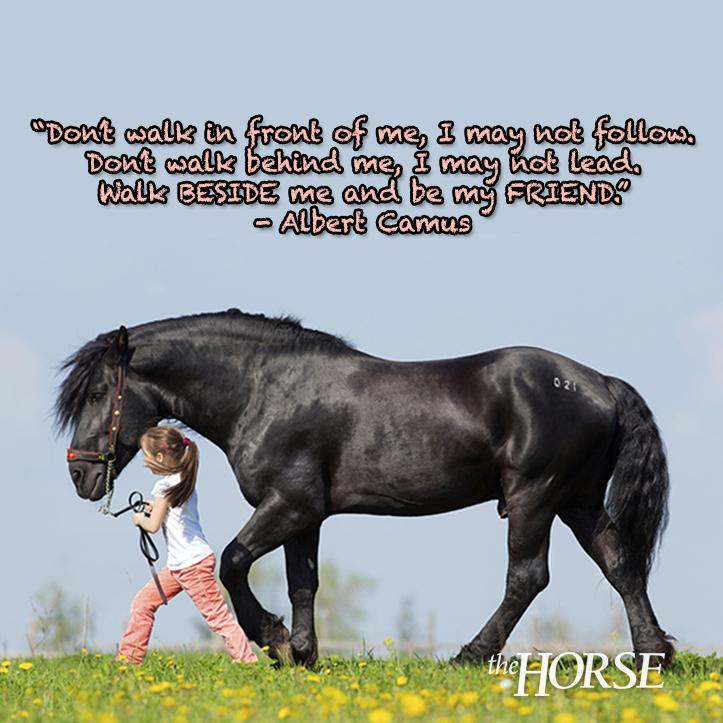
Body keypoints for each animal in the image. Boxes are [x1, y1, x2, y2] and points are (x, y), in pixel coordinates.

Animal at [55, 309, 674, 668]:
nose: (81, 475)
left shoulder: (289, 504)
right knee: (621, 565)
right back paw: (654, 656)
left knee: (527, 578)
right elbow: (303, 584)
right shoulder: (305, 516)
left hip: (535, 498)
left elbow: (232, 563)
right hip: (578, 501)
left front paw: (274, 639)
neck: (265, 389)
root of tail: (599, 384)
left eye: (96, 394)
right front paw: (303, 654)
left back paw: (470, 656)